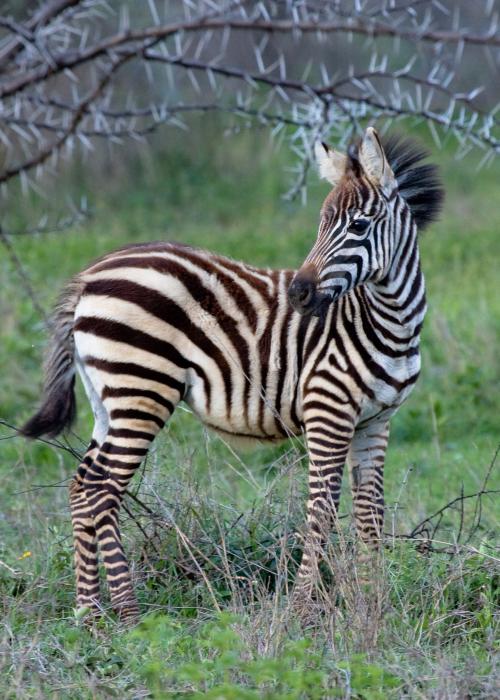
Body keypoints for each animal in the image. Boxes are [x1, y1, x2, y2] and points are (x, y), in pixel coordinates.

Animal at [20, 129, 442, 620]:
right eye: (320, 224)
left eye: (358, 226)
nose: (299, 293)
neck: (389, 321)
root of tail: (88, 277)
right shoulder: (328, 411)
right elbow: (321, 510)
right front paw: (302, 607)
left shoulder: (376, 421)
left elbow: (370, 513)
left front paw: (374, 606)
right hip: (140, 390)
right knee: (103, 491)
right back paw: (127, 614)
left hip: (107, 397)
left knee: (81, 486)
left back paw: (89, 614)